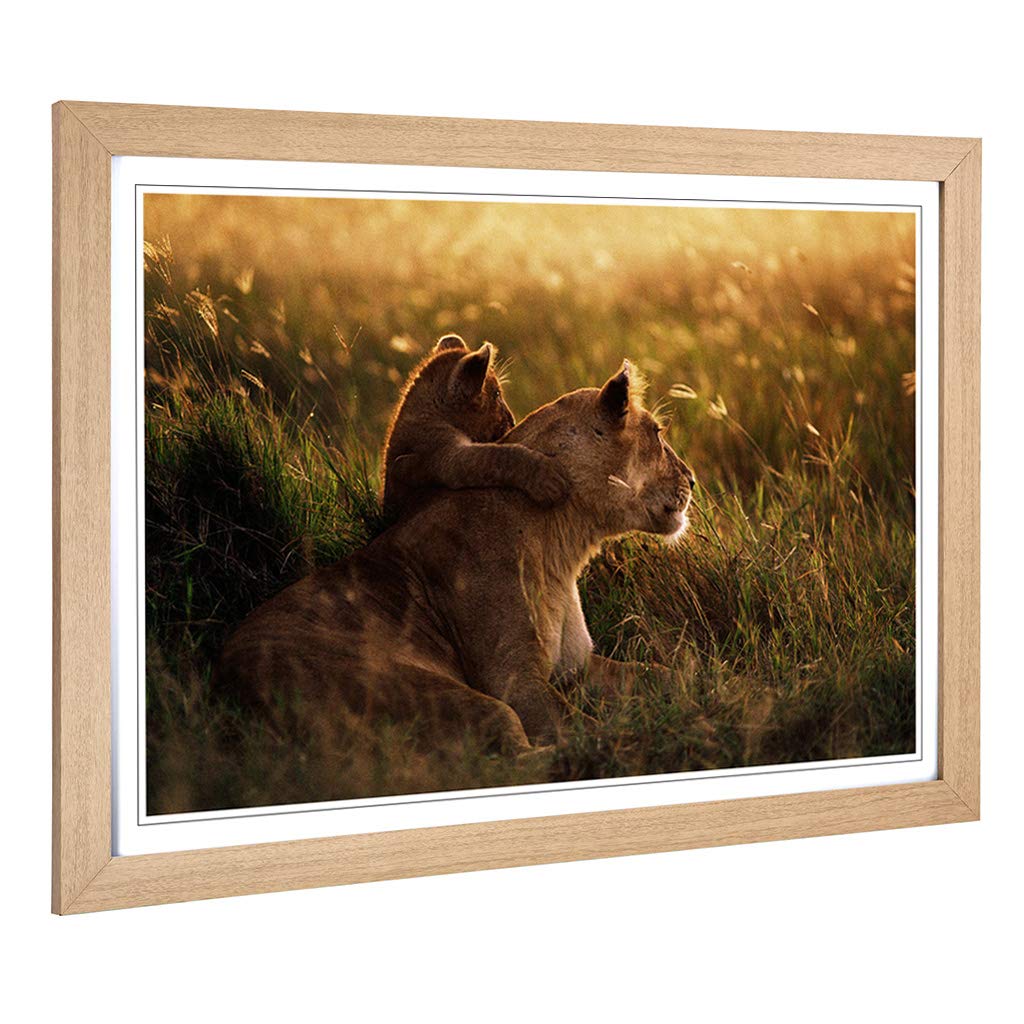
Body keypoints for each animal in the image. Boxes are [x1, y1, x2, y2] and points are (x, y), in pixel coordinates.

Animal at [215, 361, 694, 753]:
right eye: (657, 434)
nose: (691, 478)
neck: (564, 542)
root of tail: (229, 687)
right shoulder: (514, 679)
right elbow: (577, 727)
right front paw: (641, 734)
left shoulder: (577, 666)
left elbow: (663, 673)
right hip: (434, 692)